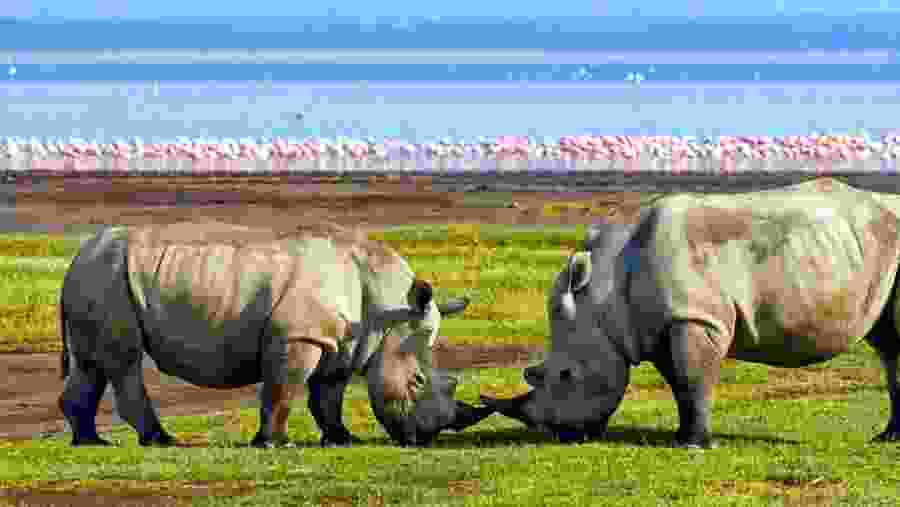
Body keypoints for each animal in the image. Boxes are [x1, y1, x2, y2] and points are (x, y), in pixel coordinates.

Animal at [58, 220, 493, 448]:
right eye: (417, 381)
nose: (423, 439)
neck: (389, 311)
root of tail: (77, 256)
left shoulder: (342, 342)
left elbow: (327, 396)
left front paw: (342, 439)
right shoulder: (298, 337)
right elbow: (283, 390)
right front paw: (273, 444)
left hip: (100, 276)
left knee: (91, 363)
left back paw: (90, 442)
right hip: (107, 277)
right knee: (124, 361)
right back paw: (162, 441)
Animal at [483, 179, 900, 448]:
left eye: (567, 375)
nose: (564, 435)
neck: (603, 294)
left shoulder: (695, 317)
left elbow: (692, 378)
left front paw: (695, 446)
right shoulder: (656, 326)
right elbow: (679, 383)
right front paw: (682, 437)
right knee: (889, 345)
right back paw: (886, 439)